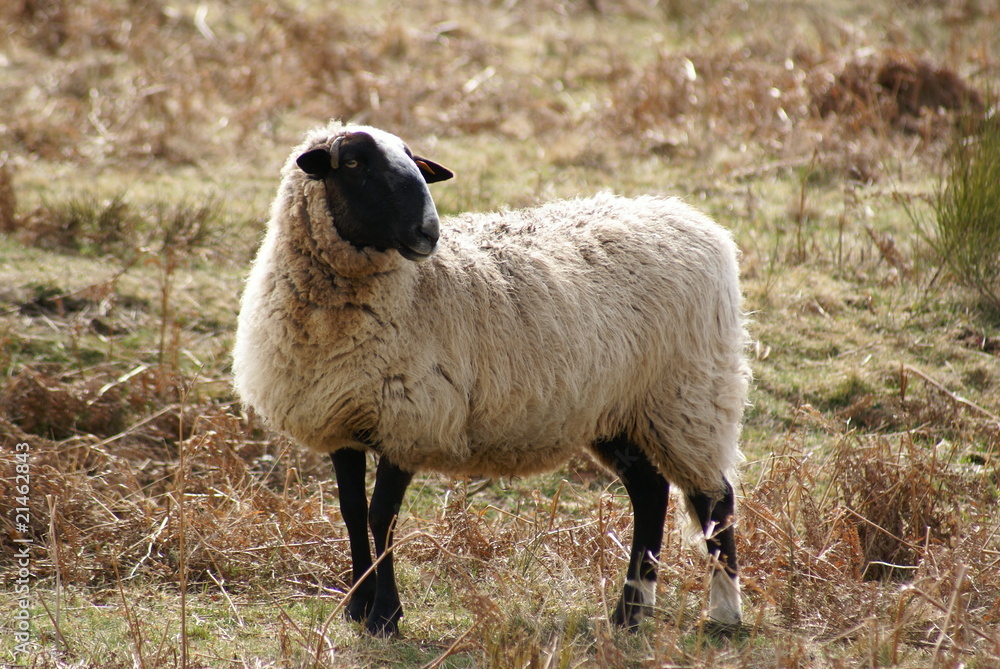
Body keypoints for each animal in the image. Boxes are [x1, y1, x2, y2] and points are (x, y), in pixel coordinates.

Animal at [233, 121, 751, 637]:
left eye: (415, 163)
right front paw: (358, 606)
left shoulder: (409, 419)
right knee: (651, 492)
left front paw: (385, 616)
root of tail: (691, 218)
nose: (428, 231)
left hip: (689, 395)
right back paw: (629, 613)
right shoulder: (341, 420)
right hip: (619, 409)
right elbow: (352, 511)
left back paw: (724, 612)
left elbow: (383, 517)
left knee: (714, 498)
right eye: (355, 163)